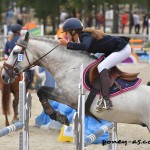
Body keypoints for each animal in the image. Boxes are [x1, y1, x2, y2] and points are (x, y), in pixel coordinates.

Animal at [1, 31, 150, 131]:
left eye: (15, 52)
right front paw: (58, 116)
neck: (69, 65)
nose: (3, 76)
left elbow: (42, 91)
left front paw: (57, 116)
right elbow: (42, 91)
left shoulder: (69, 97)